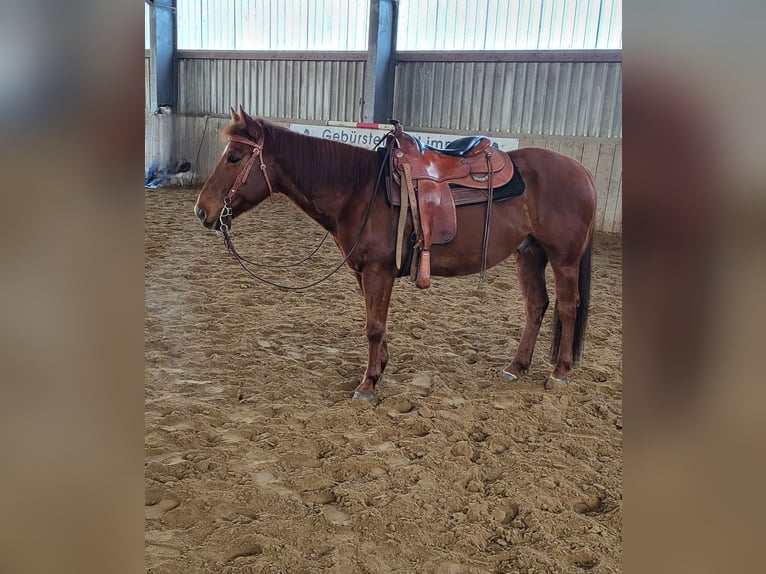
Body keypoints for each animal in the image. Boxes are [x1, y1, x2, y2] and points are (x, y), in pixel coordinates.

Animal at [194, 109, 600, 404]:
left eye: (234, 158)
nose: (202, 210)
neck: (358, 189)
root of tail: (582, 170)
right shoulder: (363, 272)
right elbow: (376, 323)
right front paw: (381, 368)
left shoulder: (379, 270)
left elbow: (373, 327)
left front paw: (368, 384)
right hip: (529, 254)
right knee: (537, 306)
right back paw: (516, 366)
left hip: (563, 259)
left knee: (568, 307)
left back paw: (560, 372)